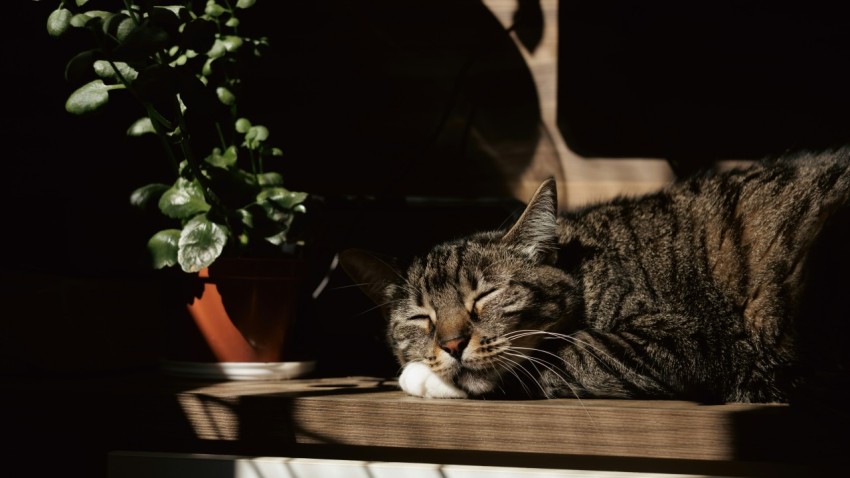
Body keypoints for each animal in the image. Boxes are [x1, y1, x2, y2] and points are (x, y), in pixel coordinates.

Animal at [338, 147, 848, 404]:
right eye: (420, 318)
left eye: (486, 295)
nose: (451, 344)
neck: (585, 267)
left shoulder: (683, 338)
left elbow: (560, 356)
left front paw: (420, 377)